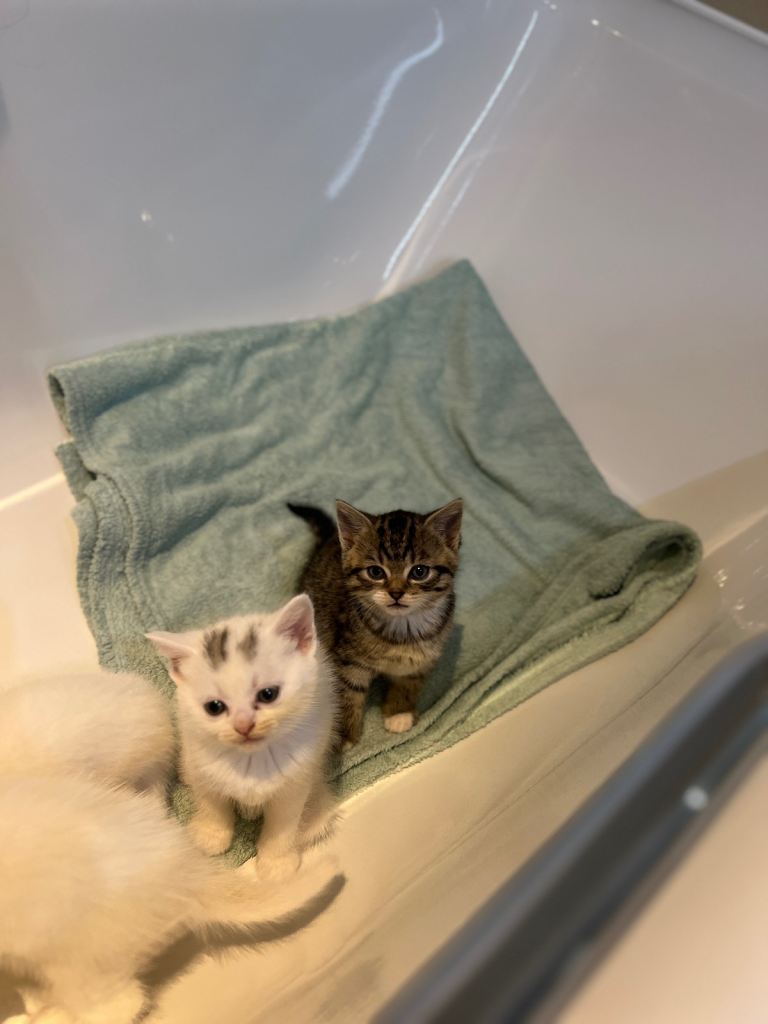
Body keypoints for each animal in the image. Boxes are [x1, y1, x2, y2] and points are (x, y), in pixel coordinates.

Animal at [147, 593, 338, 876]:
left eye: (268, 694)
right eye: (214, 707)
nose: (243, 725)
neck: (252, 761)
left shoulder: (296, 781)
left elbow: (284, 824)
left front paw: (276, 863)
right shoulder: (202, 766)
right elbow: (212, 804)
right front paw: (211, 836)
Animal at [288, 498, 463, 747]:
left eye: (419, 571)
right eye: (375, 572)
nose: (396, 593)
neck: (403, 629)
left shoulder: (424, 657)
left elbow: (410, 681)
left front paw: (399, 712)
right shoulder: (347, 660)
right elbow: (347, 694)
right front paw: (343, 736)